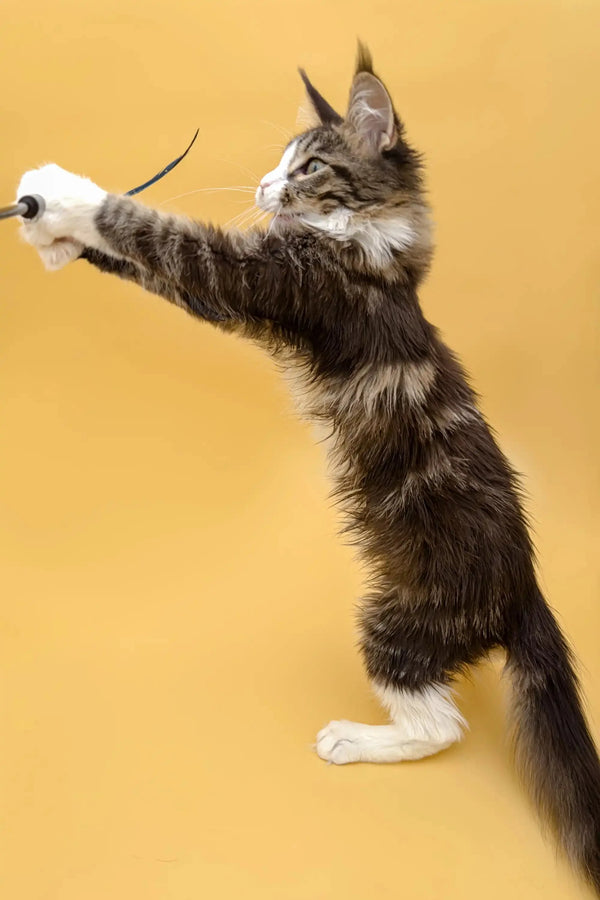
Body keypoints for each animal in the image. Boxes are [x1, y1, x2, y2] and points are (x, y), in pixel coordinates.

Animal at [16, 45, 600, 896]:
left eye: (309, 166)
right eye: (279, 163)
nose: (263, 188)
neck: (373, 246)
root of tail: (523, 589)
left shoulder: (277, 279)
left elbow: (158, 231)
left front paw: (63, 192)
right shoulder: (247, 297)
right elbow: (153, 267)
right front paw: (58, 238)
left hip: (401, 617)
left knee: (443, 727)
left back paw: (353, 740)